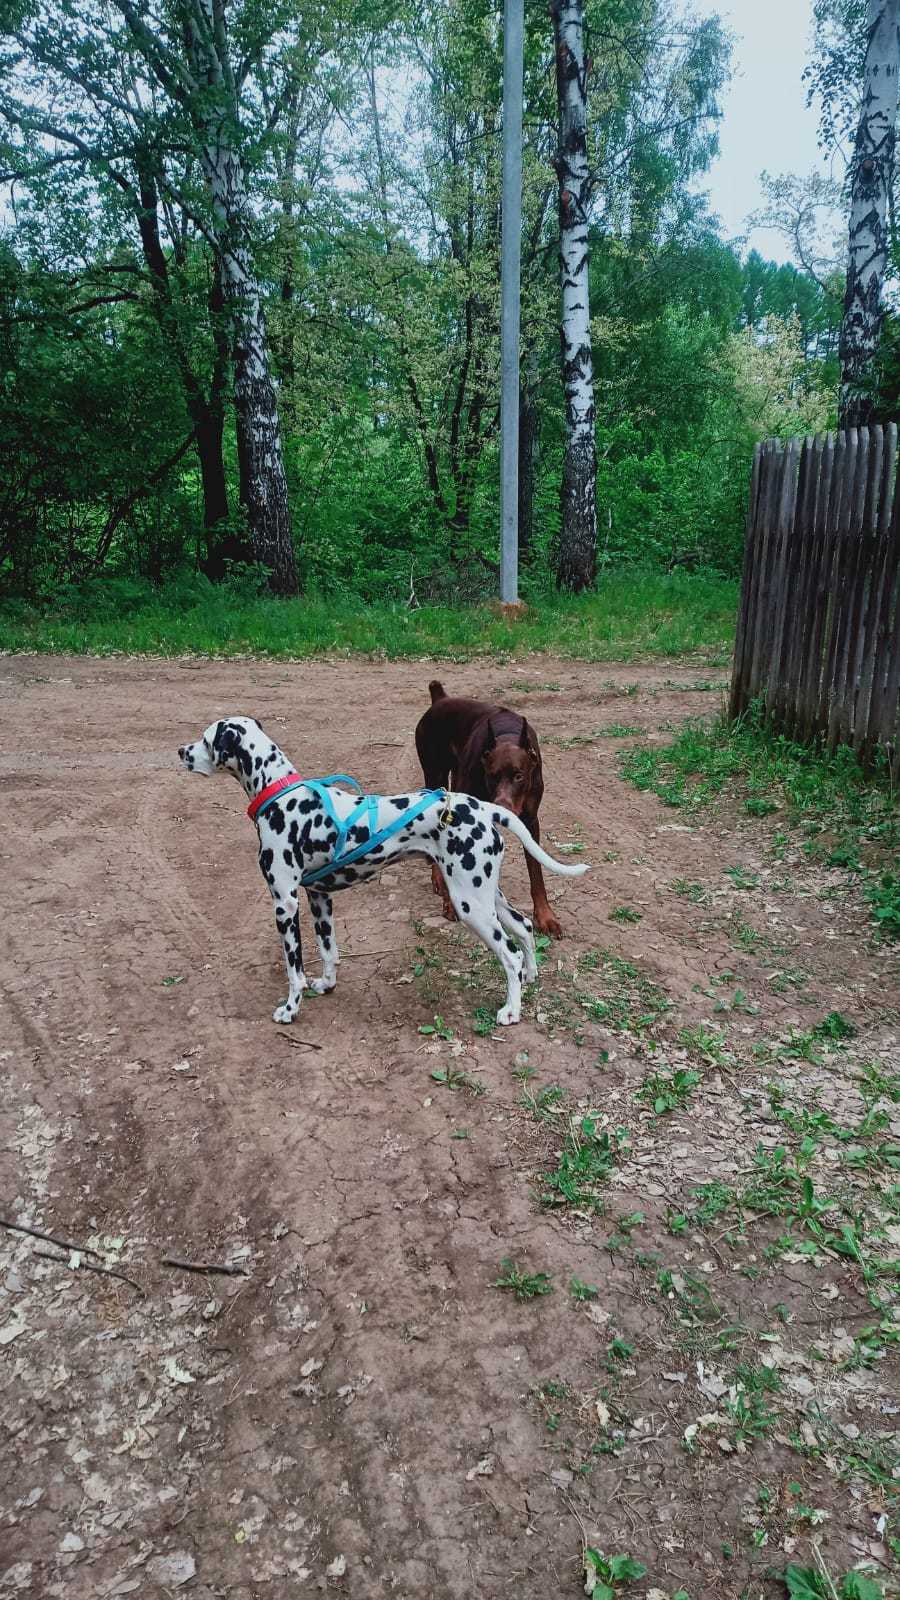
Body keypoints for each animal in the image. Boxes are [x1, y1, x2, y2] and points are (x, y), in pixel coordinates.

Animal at [179, 713, 589, 1024]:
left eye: (205, 739)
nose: (180, 751)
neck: (280, 795)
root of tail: (486, 808)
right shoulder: (319, 898)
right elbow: (329, 950)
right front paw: (327, 985)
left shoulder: (285, 904)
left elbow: (294, 970)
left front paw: (290, 1010)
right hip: (485, 893)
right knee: (523, 926)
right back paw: (531, 975)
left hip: (470, 904)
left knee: (509, 953)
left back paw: (511, 1011)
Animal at [416, 678, 560, 934]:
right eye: (492, 776)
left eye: (519, 776)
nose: (502, 807)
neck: (507, 735)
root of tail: (440, 699)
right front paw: (452, 903)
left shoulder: (530, 819)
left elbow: (536, 871)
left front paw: (545, 916)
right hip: (435, 774)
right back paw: (438, 878)